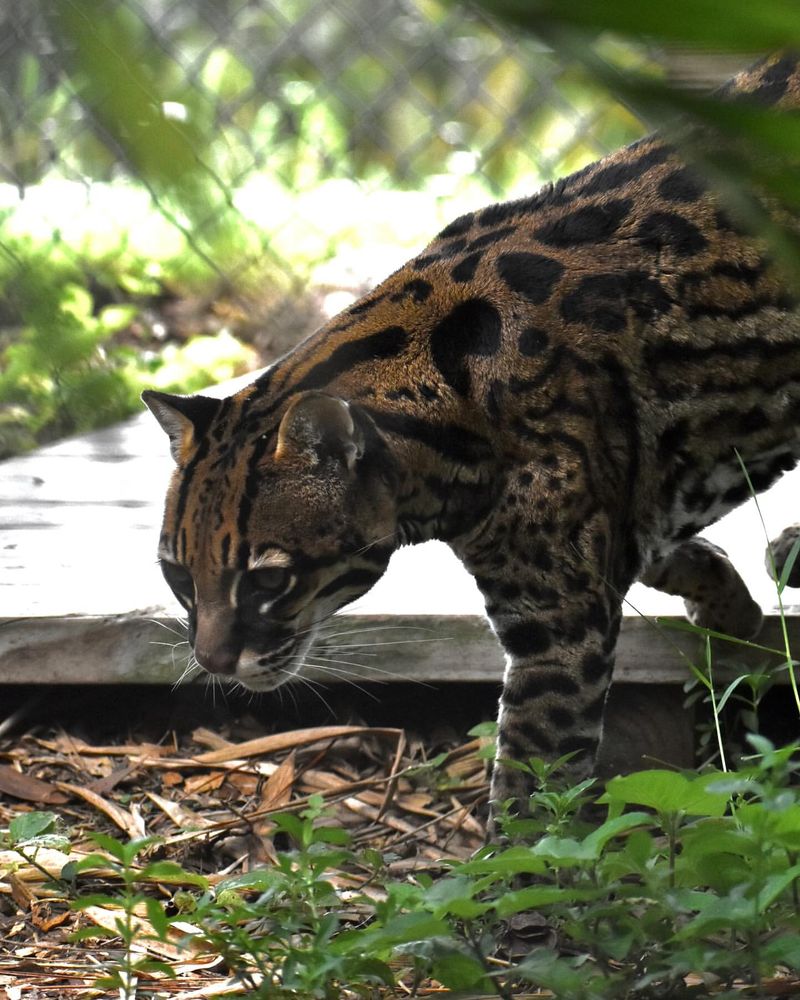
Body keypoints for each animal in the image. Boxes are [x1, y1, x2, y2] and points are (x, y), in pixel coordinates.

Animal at [144, 54, 800, 812]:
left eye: (268, 579)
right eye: (177, 575)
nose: (212, 663)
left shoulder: (558, 628)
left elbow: (532, 783)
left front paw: (516, 847)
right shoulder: (624, 505)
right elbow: (659, 539)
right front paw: (729, 602)